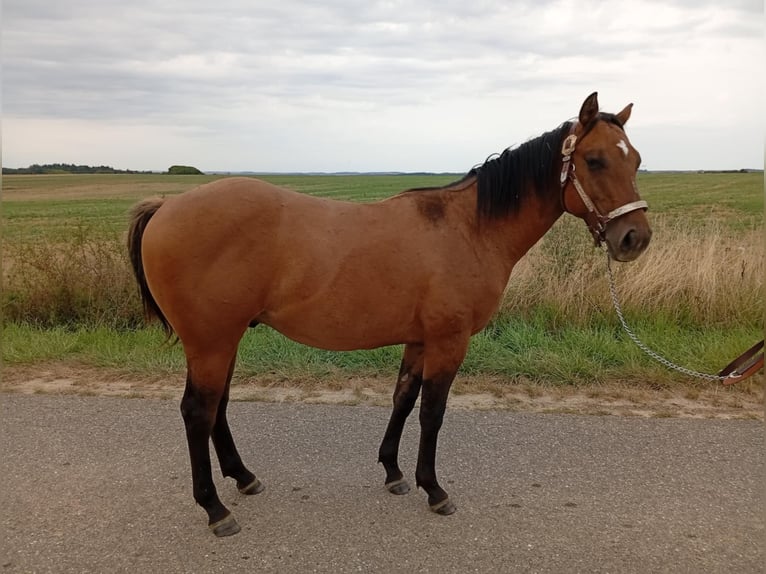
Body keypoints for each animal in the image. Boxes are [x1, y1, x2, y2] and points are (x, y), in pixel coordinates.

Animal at [127, 92, 651, 536]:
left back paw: (243, 478)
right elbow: (432, 413)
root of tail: (166, 205)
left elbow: (402, 399)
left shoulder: (418, 340)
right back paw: (216, 509)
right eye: (595, 160)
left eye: (637, 160)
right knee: (198, 412)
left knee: (217, 408)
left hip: (223, 340)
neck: (469, 229)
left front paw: (395, 472)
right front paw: (434, 490)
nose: (634, 238)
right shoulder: (448, 342)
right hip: (211, 342)